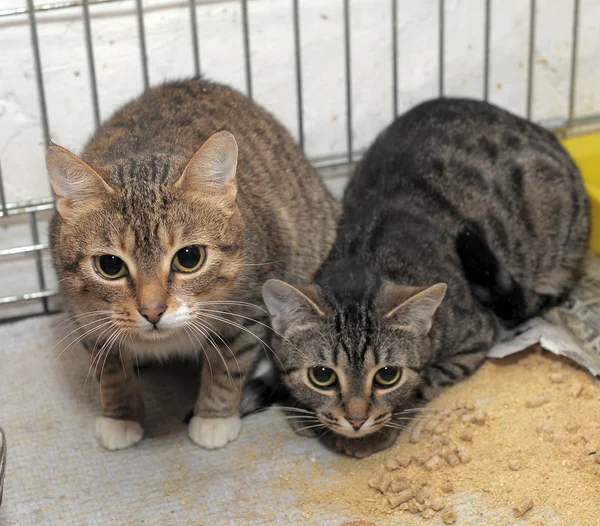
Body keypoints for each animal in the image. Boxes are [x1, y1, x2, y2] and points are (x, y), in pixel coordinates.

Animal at [49, 76, 340, 452]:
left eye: (189, 258)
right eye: (110, 265)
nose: (153, 311)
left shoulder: (247, 312)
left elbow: (226, 368)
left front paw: (213, 418)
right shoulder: (88, 322)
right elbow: (111, 373)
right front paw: (121, 417)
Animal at [262, 98, 592, 458]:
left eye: (388, 375)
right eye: (322, 376)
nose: (356, 419)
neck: (366, 258)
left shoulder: (475, 338)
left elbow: (428, 379)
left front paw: (377, 432)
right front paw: (300, 410)